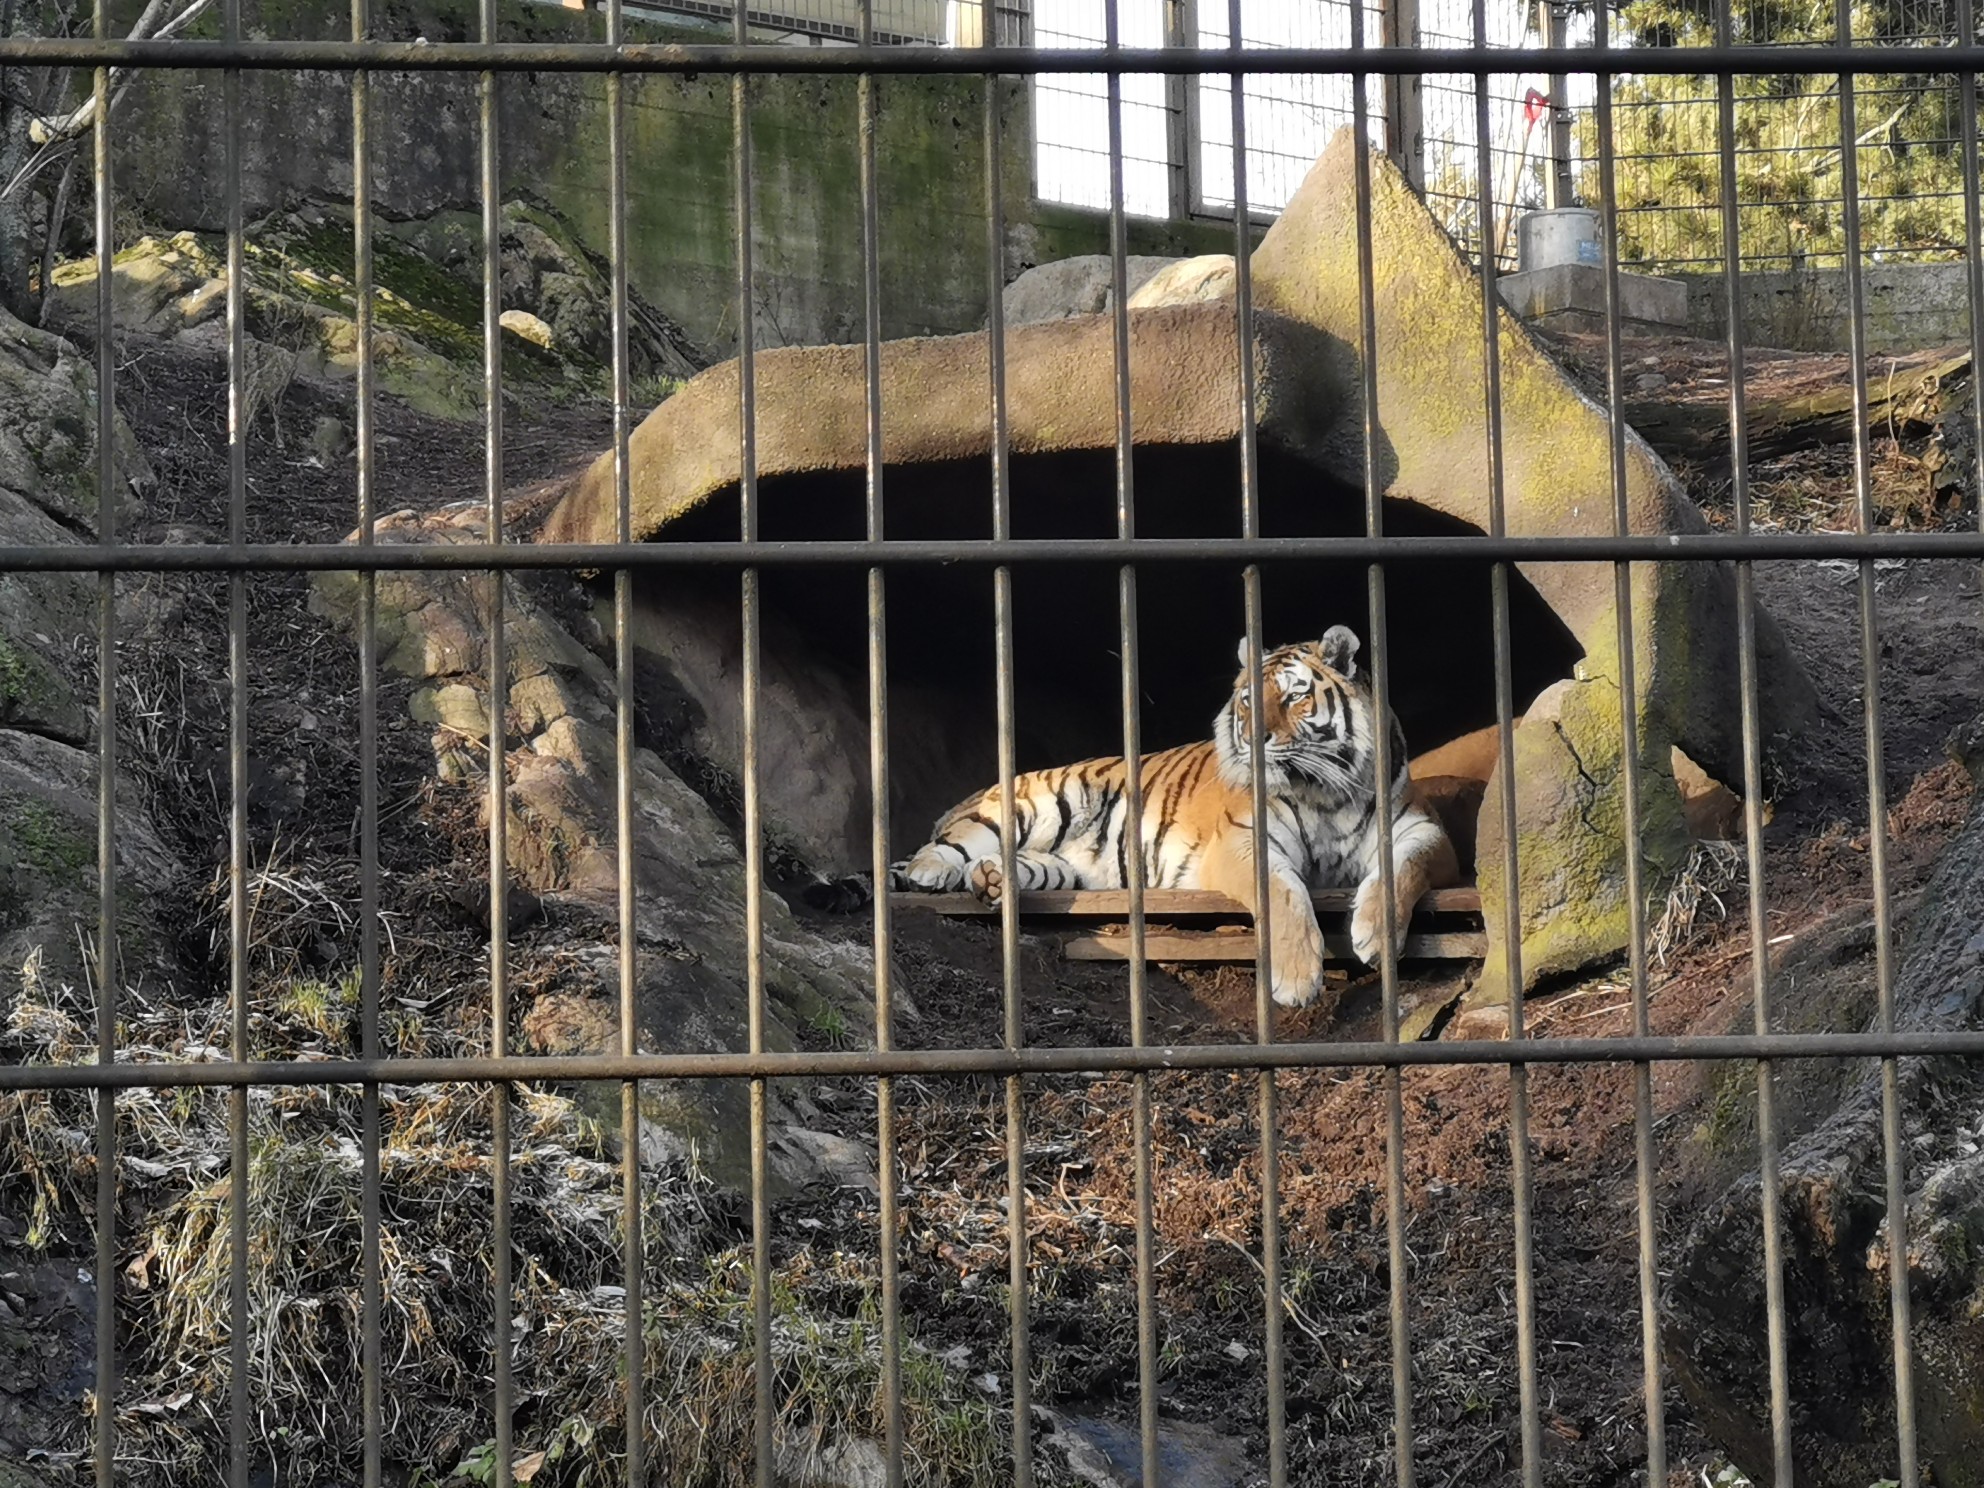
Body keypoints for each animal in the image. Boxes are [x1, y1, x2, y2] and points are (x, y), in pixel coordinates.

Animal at [809, 622, 1460, 1007]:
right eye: (1248, 701)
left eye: (1296, 696)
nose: (1253, 738)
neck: (1324, 790)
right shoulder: (1245, 842)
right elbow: (1284, 891)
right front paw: (1299, 977)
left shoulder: (1423, 831)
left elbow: (1403, 872)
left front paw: (1375, 934)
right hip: (1027, 805)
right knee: (943, 844)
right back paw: (936, 871)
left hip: (1064, 869)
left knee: (1020, 868)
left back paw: (992, 881)